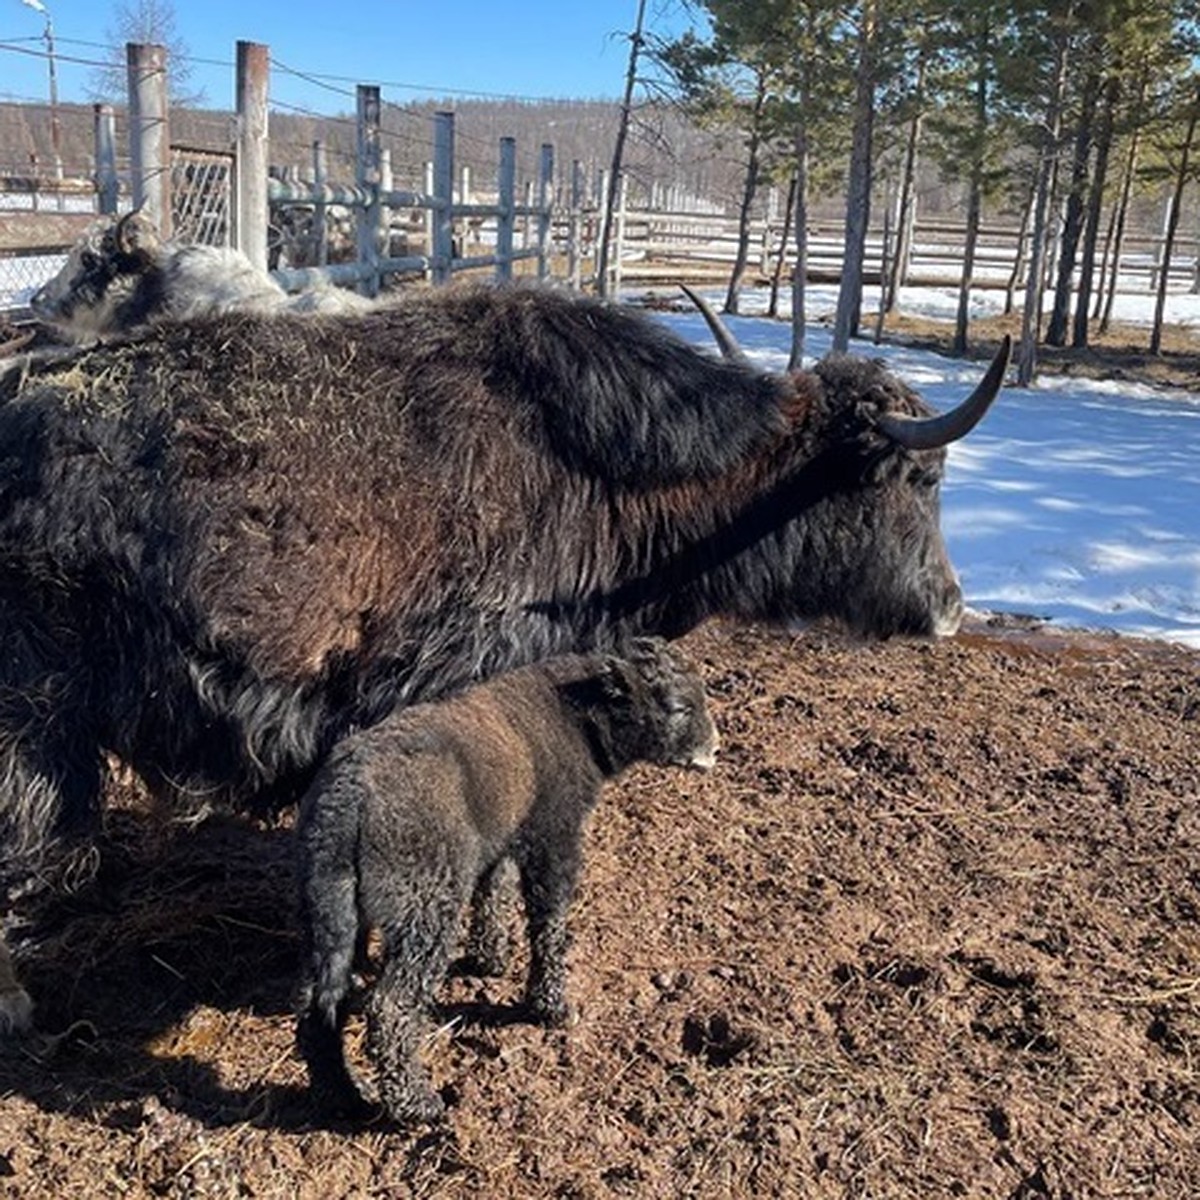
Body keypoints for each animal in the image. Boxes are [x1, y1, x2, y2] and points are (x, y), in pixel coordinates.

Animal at [295, 638, 715, 1123]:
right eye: (679, 706)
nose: (714, 749)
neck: (577, 715)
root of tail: (346, 805)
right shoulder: (553, 839)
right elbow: (549, 925)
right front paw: (551, 1006)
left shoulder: (504, 837)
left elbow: (494, 890)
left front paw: (489, 958)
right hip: (425, 908)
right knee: (391, 1007)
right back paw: (416, 1103)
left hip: (329, 914)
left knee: (321, 1007)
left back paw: (343, 1096)